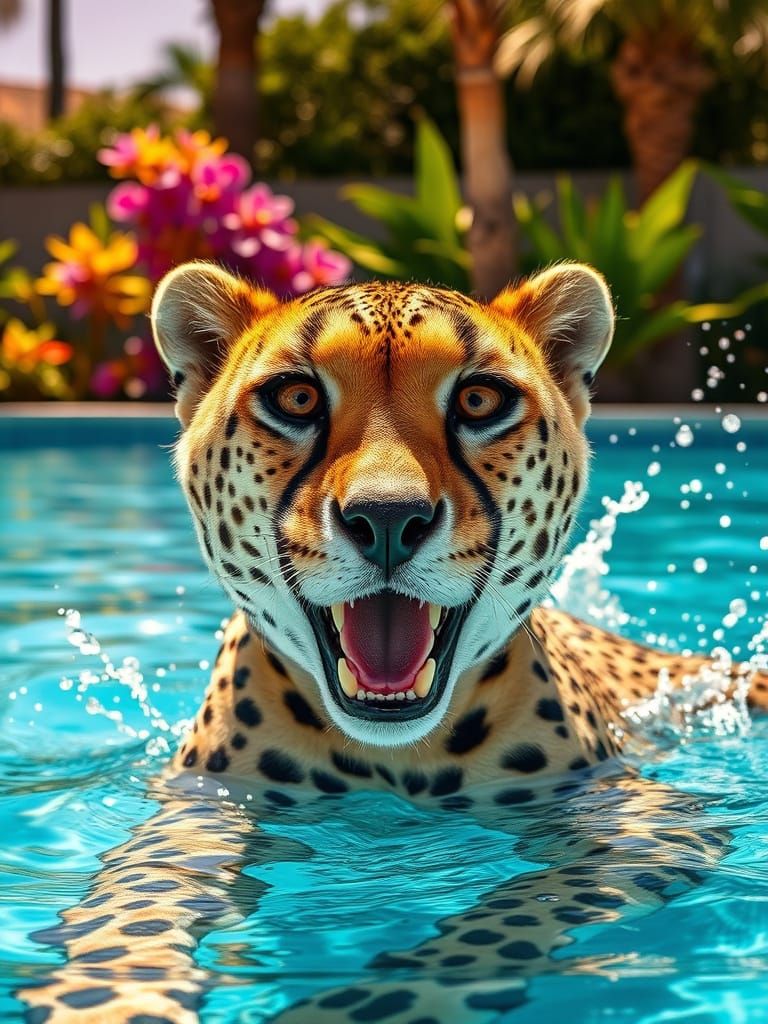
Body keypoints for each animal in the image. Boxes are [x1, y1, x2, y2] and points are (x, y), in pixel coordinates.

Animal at [20, 261, 768, 1024]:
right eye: (296, 398)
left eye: (478, 400)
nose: (386, 518)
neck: (393, 761)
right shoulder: (201, 807)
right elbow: (136, 902)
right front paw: (110, 999)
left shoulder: (648, 822)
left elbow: (494, 932)